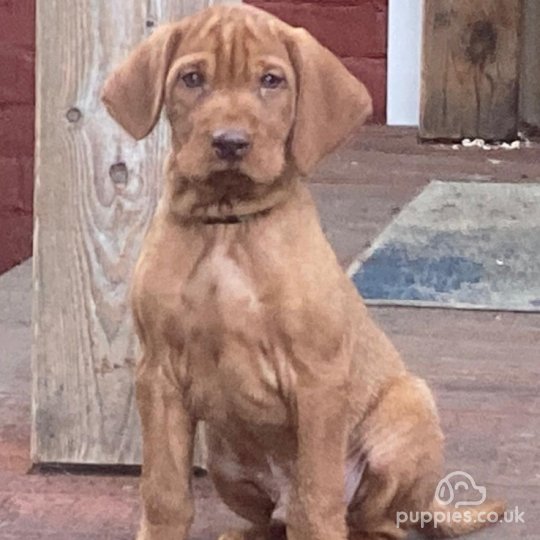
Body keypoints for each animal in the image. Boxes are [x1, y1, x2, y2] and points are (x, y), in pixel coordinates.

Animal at [102, 4, 506, 540]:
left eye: (271, 81)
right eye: (192, 79)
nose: (230, 143)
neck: (227, 226)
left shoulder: (317, 379)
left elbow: (316, 500)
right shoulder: (159, 374)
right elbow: (164, 491)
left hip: (407, 410)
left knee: (371, 520)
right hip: (224, 458)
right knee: (275, 517)